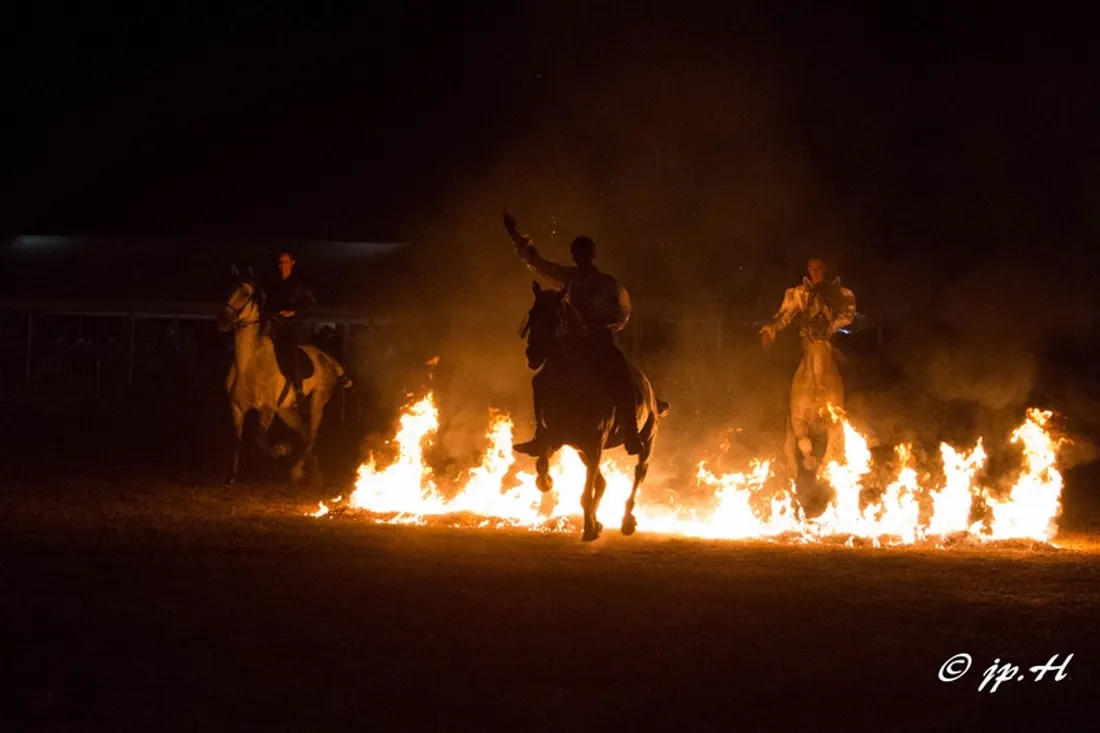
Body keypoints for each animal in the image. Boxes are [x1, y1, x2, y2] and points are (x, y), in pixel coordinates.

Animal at [215, 268, 349, 484]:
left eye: (244, 293)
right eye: (229, 289)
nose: (222, 321)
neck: (249, 365)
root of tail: (328, 358)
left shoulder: (267, 410)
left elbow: (259, 439)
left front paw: (281, 450)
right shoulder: (237, 408)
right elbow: (237, 440)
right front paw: (231, 477)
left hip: (317, 402)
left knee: (312, 435)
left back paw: (297, 469)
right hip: (287, 411)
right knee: (305, 433)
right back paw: (313, 471)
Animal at [517, 281, 668, 539]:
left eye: (554, 316)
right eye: (533, 314)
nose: (533, 354)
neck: (572, 383)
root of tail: (650, 393)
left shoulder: (595, 444)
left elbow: (586, 492)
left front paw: (588, 529)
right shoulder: (559, 439)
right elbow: (542, 463)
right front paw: (546, 482)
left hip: (646, 442)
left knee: (638, 474)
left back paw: (626, 520)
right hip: (581, 451)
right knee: (602, 483)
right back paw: (599, 521)